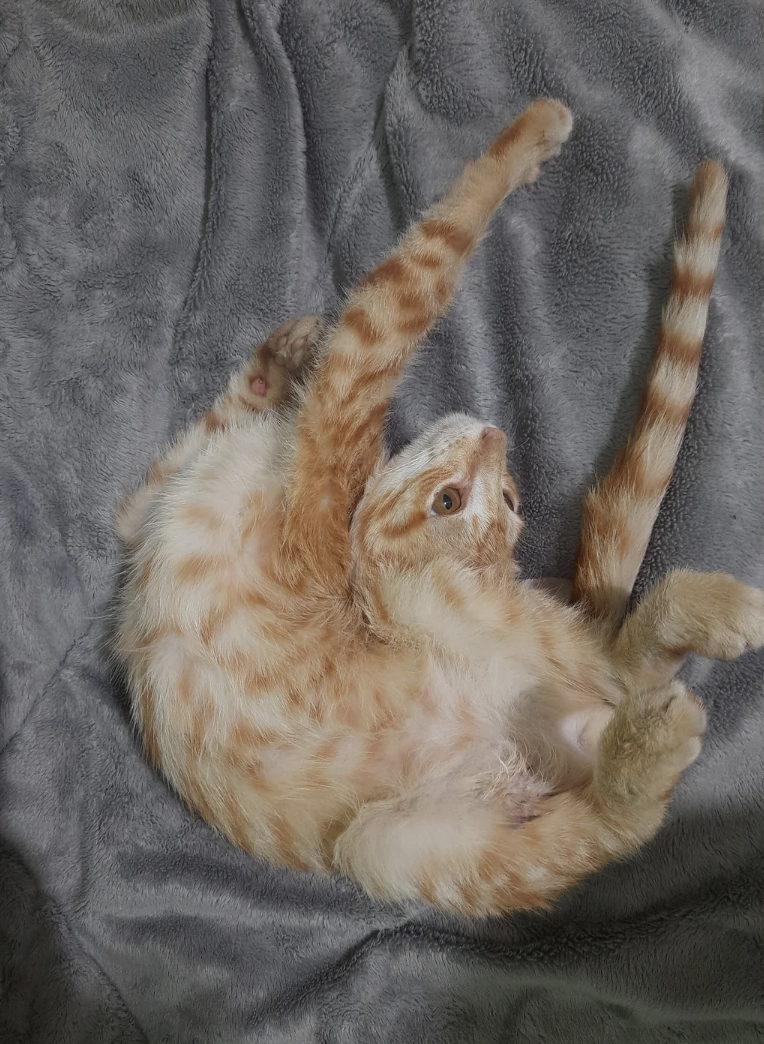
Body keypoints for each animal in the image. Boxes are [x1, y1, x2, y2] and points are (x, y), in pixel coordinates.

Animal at [114, 98, 764, 914]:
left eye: (489, 498)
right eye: (458, 499)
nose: (494, 435)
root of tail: (566, 728)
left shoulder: (339, 425)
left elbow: (418, 267)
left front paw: (527, 141)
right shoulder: (150, 518)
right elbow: (149, 490)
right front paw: (272, 367)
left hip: (451, 663)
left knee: (622, 705)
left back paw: (667, 707)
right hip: (399, 840)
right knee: (609, 749)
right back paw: (651, 734)